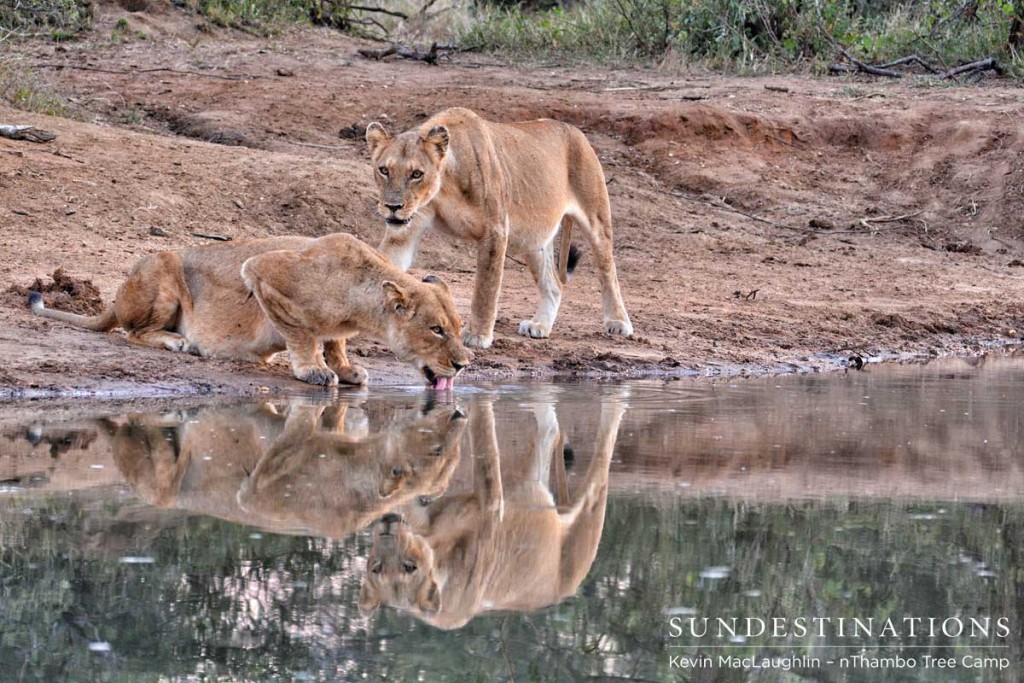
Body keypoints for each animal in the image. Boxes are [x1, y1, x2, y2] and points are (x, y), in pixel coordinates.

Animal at [27, 232, 468, 387]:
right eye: (437, 330)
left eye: (459, 328)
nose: (464, 364)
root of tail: (116, 297)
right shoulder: (264, 273)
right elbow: (303, 335)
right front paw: (314, 370)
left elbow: (335, 343)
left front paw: (344, 368)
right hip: (162, 266)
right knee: (133, 332)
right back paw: (177, 342)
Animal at [360, 393, 622, 626]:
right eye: (376, 568)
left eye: (409, 567)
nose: (387, 528)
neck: (437, 549)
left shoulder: (491, 504)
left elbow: (483, 439)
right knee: (550, 429)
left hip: (588, 519)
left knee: (602, 455)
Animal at [364, 110, 634, 352]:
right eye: (384, 170)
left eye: (417, 174)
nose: (393, 207)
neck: (444, 186)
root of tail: (575, 130)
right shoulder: (404, 231)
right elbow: (382, 265)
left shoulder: (495, 230)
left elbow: (485, 288)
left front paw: (477, 335)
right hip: (533, 240)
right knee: (554, 285)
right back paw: (539, 326)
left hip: (595, 217)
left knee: (608, 270)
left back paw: (618, 322)